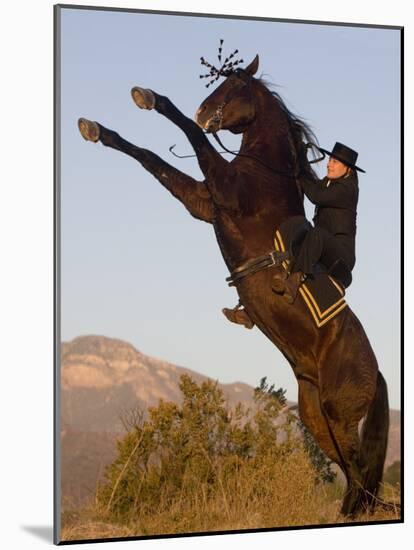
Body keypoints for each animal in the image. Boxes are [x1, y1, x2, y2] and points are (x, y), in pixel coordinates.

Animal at [77, 54, 388, 520]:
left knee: (360, 472)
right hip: (317, 417)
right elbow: (151, 159)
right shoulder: (203, 202)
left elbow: (185, 136)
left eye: (236, 87)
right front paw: (97, 129)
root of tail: (377, 370)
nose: (206, 112)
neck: (265, 170)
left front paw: (152, 99)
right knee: (353, 474)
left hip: (339, 409)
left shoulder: (222, 191)